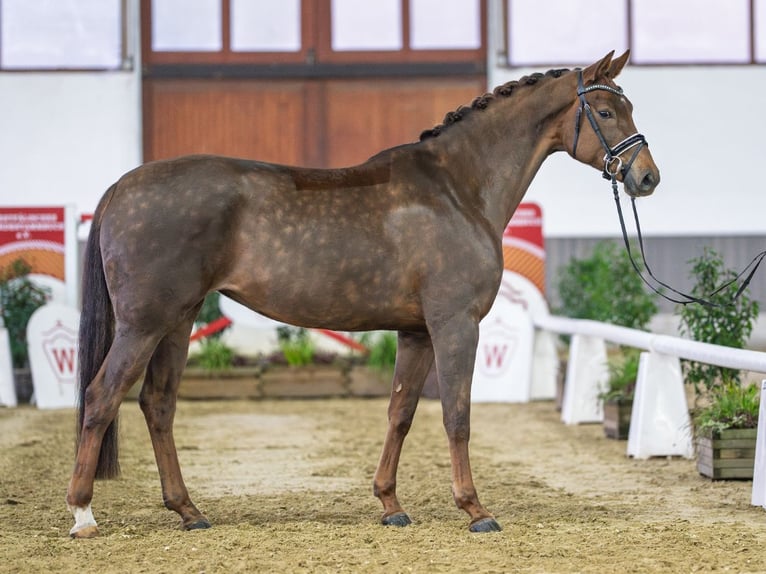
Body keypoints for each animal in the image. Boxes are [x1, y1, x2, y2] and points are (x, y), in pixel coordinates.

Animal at [66, 50, 659, 538]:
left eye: (628, 106)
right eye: (605, 112)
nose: (647, 178)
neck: (458, 188)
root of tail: (121, 188)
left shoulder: (417, 332)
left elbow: (400, 412)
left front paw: (390, 505)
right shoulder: (455, 325)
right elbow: (457, 414)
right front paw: (475, 509)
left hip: (179, 319)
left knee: (157, 403)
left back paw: (188, 511)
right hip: (145, 323)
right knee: (102, 397)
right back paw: (83, 514)